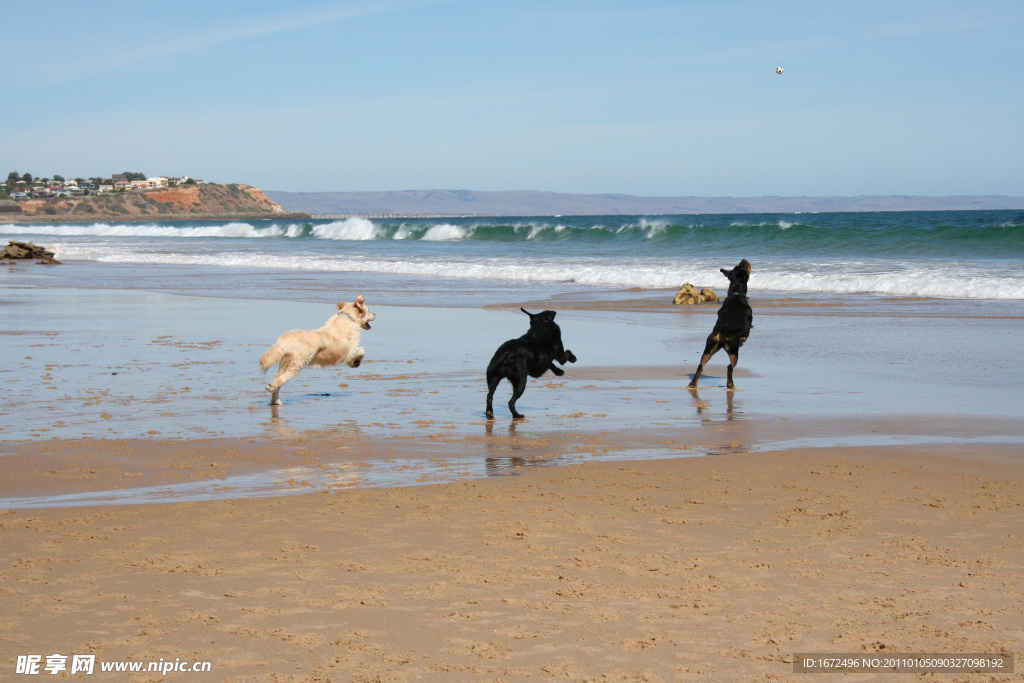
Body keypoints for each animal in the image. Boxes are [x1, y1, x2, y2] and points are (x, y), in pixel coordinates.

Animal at [688, 259, 753, 389]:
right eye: (744, 266)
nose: (743, 260)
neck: (736, 293)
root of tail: (723, 330)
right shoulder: (749, 321)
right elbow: (747, 332)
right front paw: (743, 339)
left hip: (709, 347)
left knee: (701, 365)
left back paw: (693, 384)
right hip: (733, 350)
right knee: (730, 367)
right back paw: (730, 384)